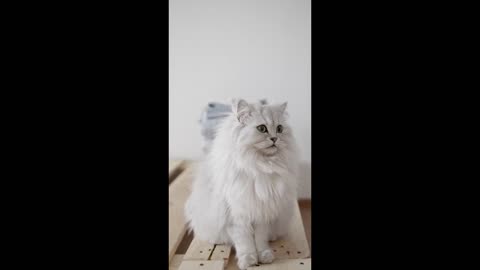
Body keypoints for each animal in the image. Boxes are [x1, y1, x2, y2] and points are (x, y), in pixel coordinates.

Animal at [186, 98, 298, 268]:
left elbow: (260, 240)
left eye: (279, 128)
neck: (260, 167)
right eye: (262, 128)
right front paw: (248, 260)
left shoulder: (262, 213)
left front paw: (265, 256)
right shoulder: (236, 216)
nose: (275, 139)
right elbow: (245, 242)